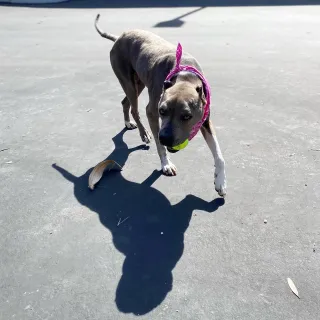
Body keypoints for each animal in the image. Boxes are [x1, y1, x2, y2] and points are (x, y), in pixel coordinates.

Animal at [94, 14, 226, 198]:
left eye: (187, 116)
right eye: (162, 111)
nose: (166, 138)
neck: (185, 76)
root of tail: (119, 37)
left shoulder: (206, 121)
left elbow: (219, 155)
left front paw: (220, 181)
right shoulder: (152, 111)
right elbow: (159, 145)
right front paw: (166, 164)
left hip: (138, 83)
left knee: (125, 102)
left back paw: (128, 123)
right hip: (129, 83)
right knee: (134, 108)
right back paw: (143, 133)